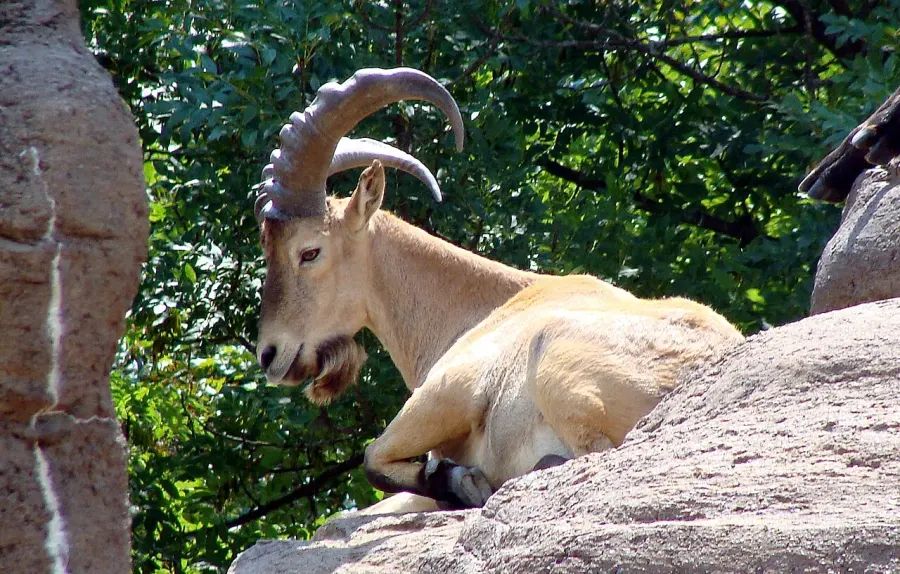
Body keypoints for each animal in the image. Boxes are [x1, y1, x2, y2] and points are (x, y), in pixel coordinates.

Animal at [254, 68, 743, 513]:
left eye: (310, 251)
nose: (269, 355)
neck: (482, 306)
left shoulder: (451, 388)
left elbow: (374, 458)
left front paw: (462, 481)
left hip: (555, 364)